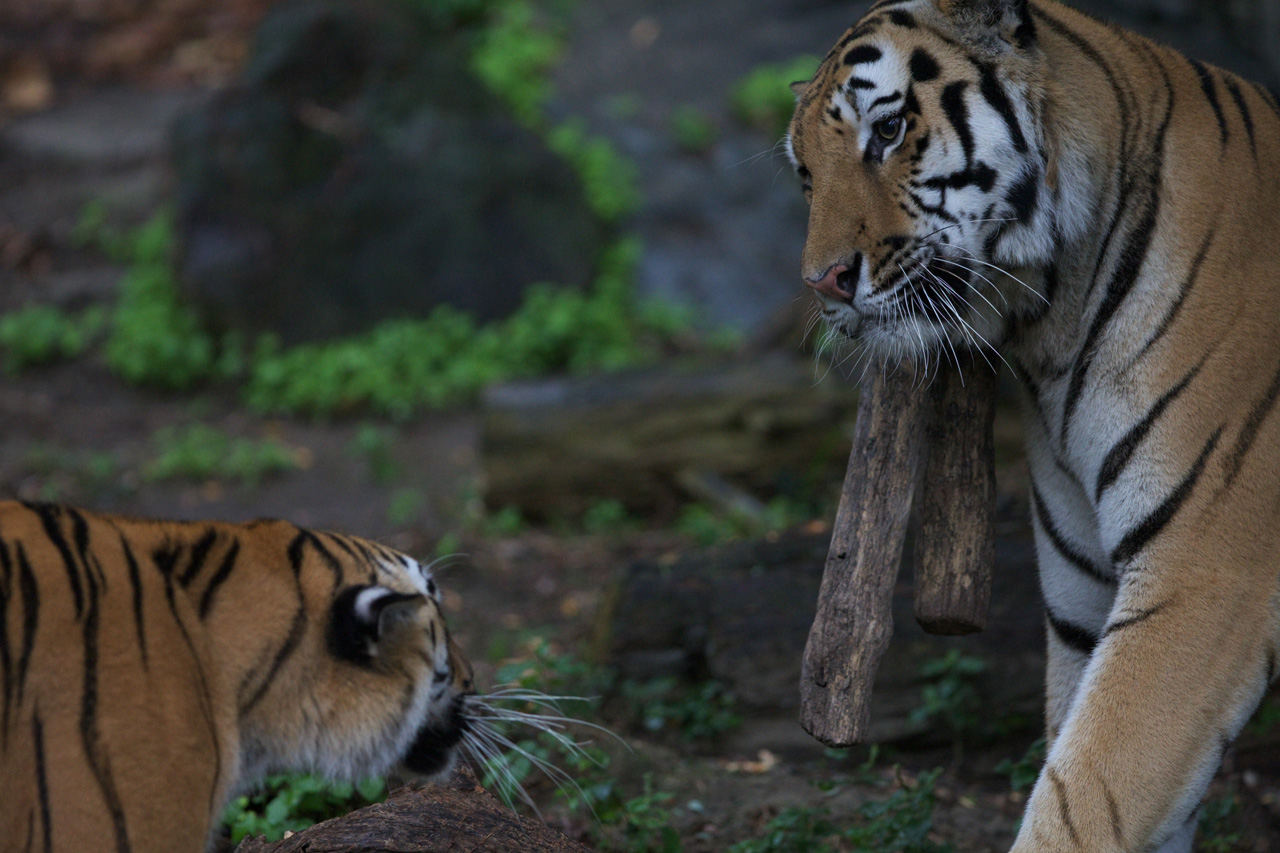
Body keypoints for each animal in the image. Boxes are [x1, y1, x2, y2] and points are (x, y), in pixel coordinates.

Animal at [783, 1, 1280, 850]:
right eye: (804, 174)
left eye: (887, 130)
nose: (824, 284)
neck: (1054, 321)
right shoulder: (1085, 595)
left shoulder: (1209, 573)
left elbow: (1089, 794)